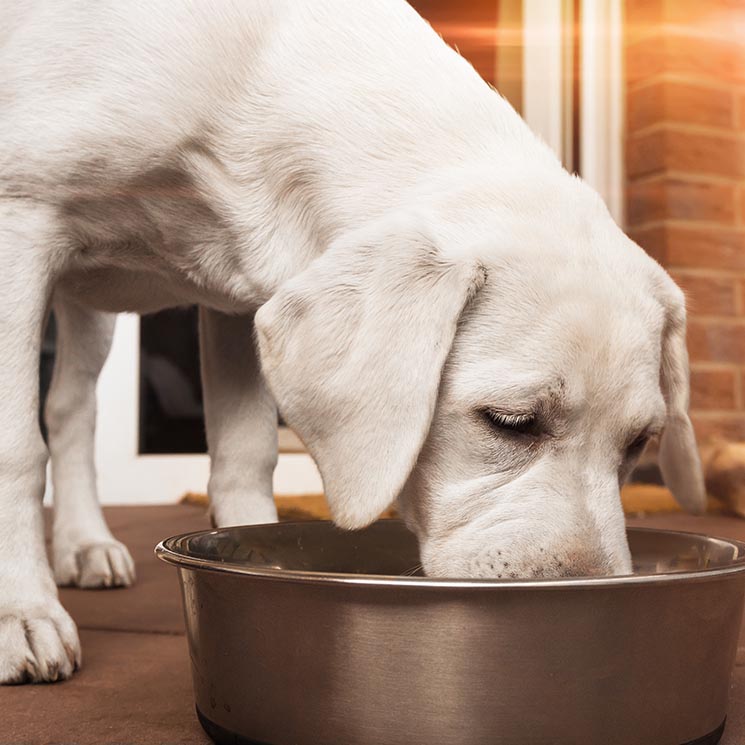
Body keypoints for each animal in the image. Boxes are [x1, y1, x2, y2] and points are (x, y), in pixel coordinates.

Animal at [0, 0, 704, 684]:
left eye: (639, 443)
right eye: (510, 421)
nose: (583, 607)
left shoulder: (235, 295)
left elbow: (245, 454)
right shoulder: (20, 219)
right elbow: (17, 451)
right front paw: (22, 613)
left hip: (89, 304)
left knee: (72, 408)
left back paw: (83, 543)